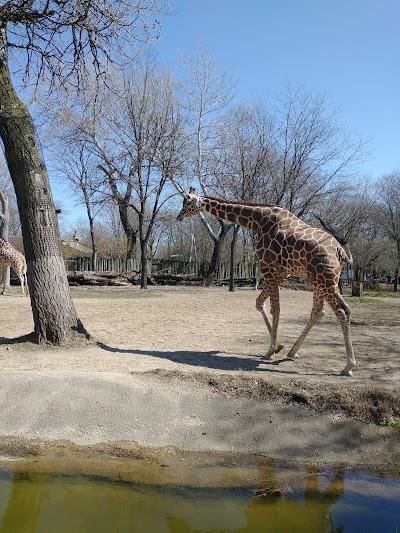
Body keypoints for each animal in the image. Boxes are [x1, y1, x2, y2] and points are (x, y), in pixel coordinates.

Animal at [177, 187, 354, 374]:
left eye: (187, 202)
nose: (178, 216)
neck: (257, 222)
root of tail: (339, 250)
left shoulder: (268, 267)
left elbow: (274, 308)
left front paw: (271, 350)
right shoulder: (280, 272)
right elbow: (259, 302)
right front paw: (278, 346)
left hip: (325, 280)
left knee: (341, 311)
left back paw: (349, 365)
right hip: (320, 280)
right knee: (321, 311)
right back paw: (293, 351)